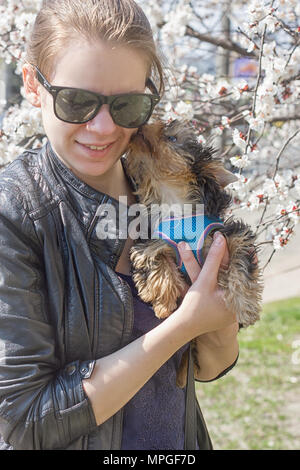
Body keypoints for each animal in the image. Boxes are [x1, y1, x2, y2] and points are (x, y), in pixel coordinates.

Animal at [123, 119, 264, 388]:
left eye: (171, 138)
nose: (142, 126)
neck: (174, 200)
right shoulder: (153, 242)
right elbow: (155, 261)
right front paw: (163, 303)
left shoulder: (229, 234)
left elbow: (240, 262)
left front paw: (245, 305)